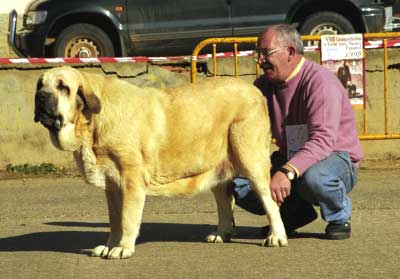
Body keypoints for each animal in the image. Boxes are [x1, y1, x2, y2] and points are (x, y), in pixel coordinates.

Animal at [32, 66, 286, 260]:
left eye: (63, 87)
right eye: (40, 85)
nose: (41, 96)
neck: (92, 122)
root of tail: (254, 90)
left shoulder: (131, 181)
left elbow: (127, 218)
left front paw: (123, 248)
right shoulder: (112, 186)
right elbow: (115, 220)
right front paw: (110, 245)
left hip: (251, 160)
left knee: (269, 201)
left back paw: (276, 236)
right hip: (216, 167)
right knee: (225, 200)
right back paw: (222, 233)